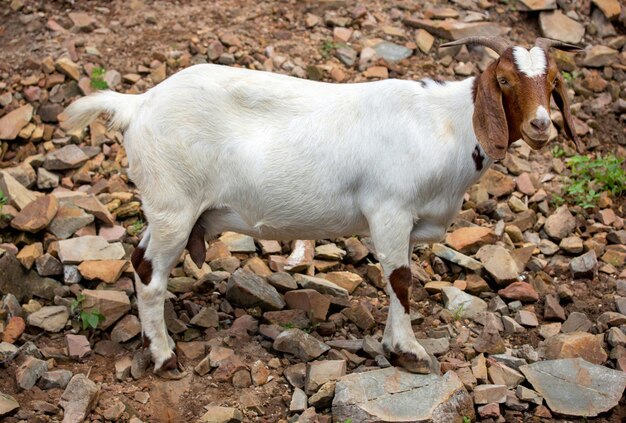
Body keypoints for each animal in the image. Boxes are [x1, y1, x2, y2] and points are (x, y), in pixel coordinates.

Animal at [62, 36, 580, 380]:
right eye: (505, 80)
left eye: (554, 80)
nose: (541, 126)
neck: (447, 124)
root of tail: (138, 105)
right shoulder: (390, 210)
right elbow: (400, 280)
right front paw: (408, 352)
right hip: (174, 203)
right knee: (152, 275)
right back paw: (165, 357)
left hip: (166, 206)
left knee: (139, 259)